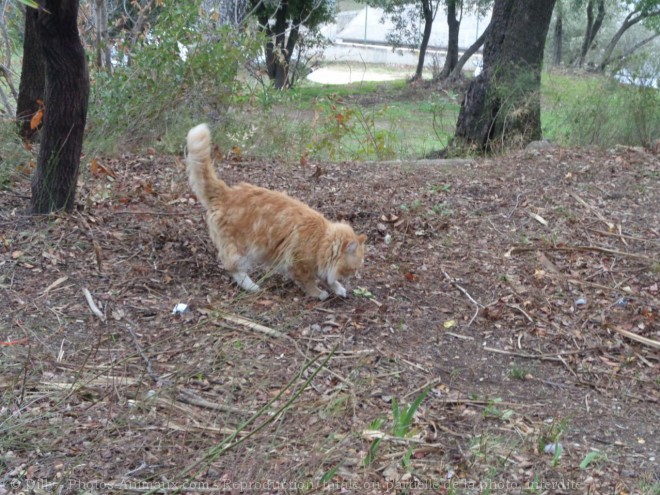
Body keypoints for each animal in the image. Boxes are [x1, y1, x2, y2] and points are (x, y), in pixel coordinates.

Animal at [186, 124, 366, 302]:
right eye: (353, 268)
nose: (354, 274)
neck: (321, 239)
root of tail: (226, 192)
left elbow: (328, 279)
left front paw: (339, 288)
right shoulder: (298, 263)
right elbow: (309, 281)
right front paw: (318, 293)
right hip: (240, 250)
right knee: (233, 268)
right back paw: (251, 286)